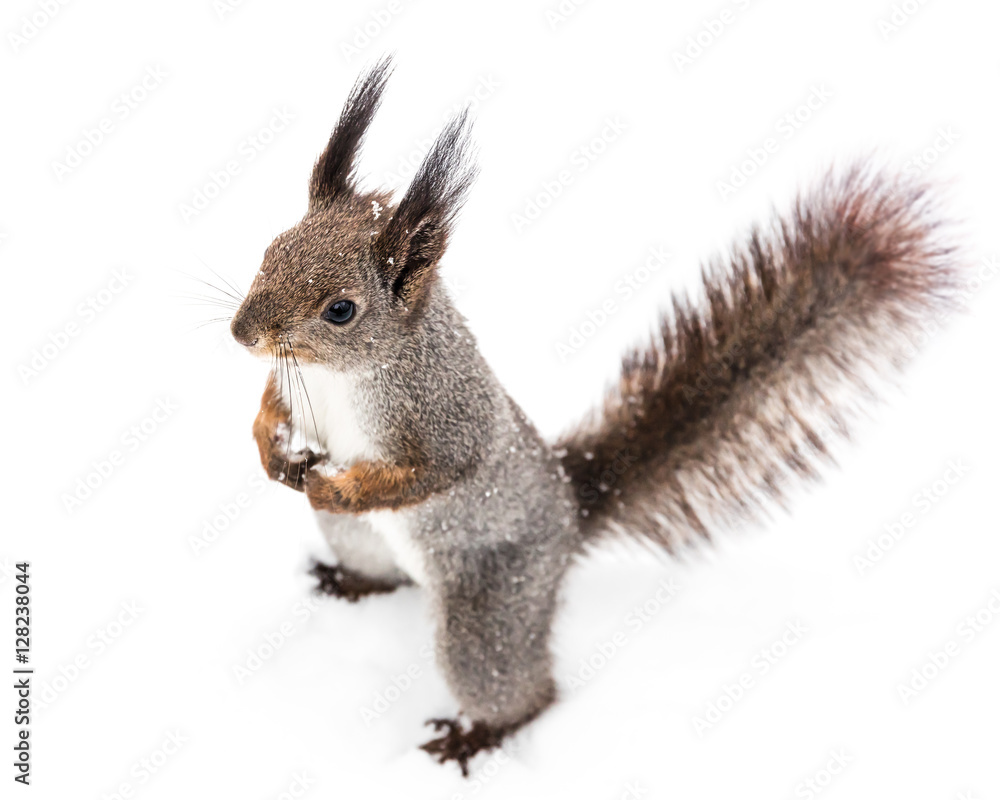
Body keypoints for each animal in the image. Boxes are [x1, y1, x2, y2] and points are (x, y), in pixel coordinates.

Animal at [229, 57, 959, 775]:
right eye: (270, 249)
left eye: (341, 310)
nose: (241, 333)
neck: (335, 376)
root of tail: (570, 512)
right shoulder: (293, 385)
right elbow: (269, 407)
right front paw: (271, 447)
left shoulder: (443, 414)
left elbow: (432, 471)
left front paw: (338, 483)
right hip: (359, 541)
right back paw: (347, 580)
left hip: (491, 609)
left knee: (519, 687)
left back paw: (477, 735)